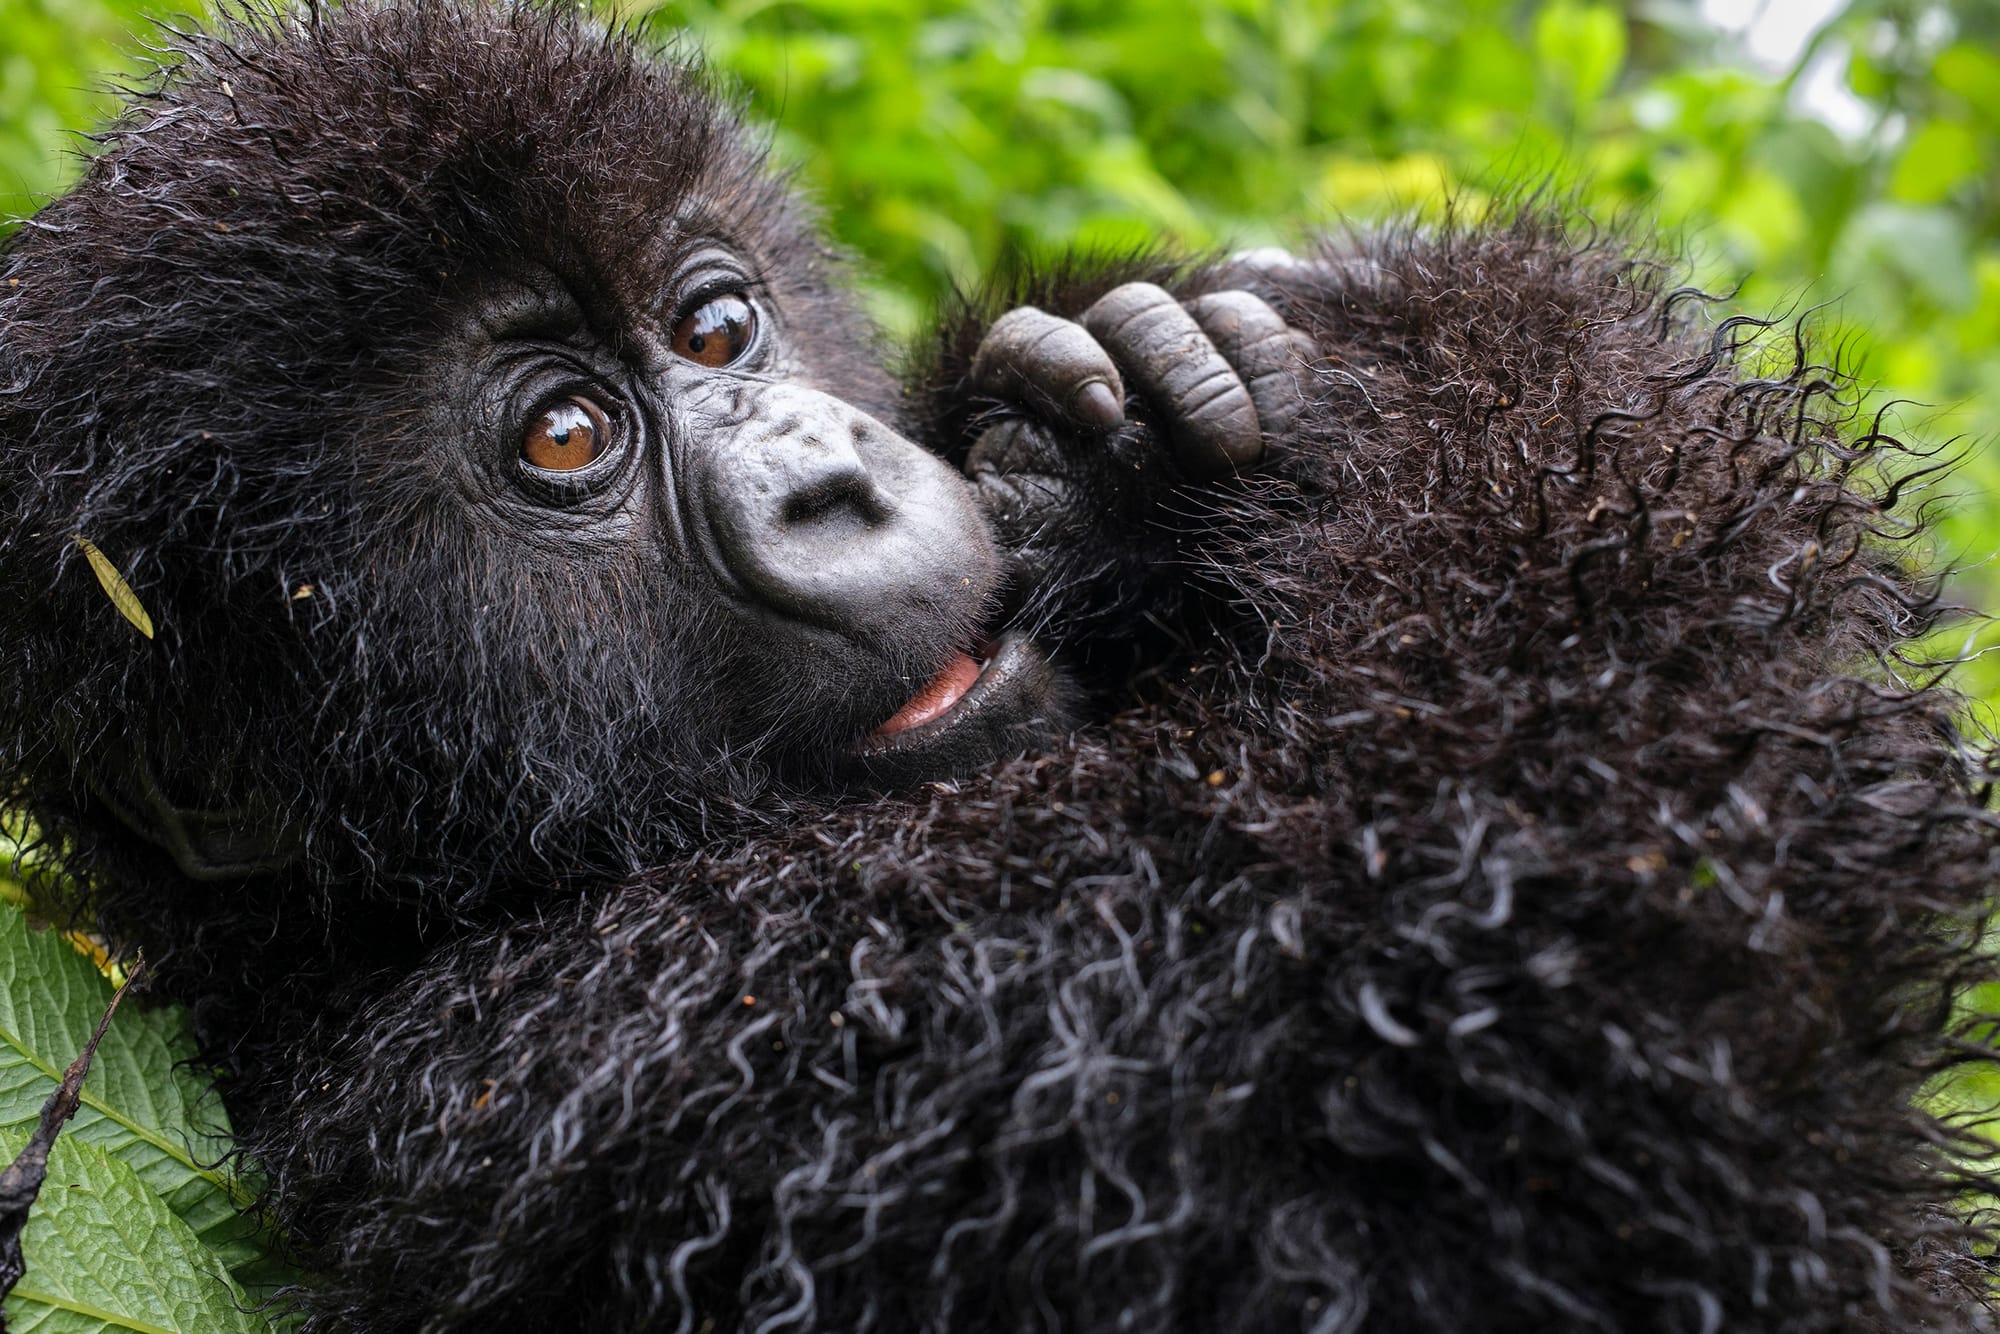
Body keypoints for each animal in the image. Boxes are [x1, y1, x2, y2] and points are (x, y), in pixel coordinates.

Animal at [0, 3, 1994, 1330]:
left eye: (714, 326)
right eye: (565, 438)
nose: (834, 478)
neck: (362, 940)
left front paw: (1124, 423)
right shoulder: (688, 1040)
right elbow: (1558, 905)